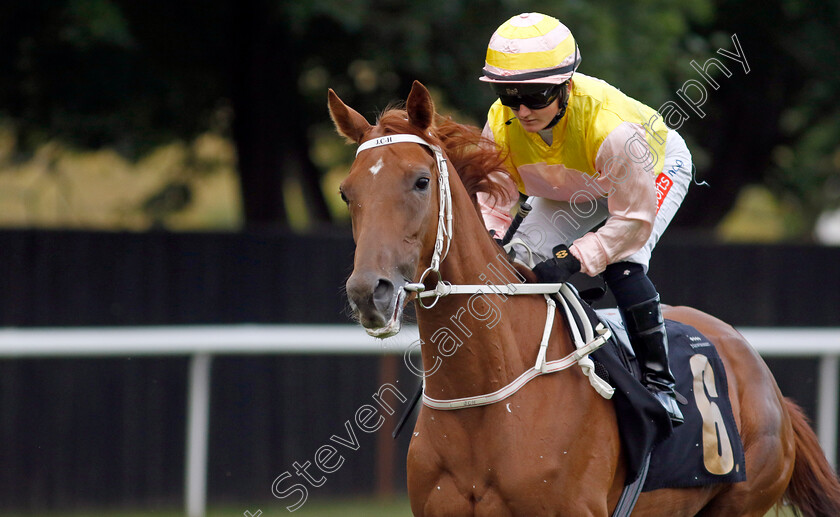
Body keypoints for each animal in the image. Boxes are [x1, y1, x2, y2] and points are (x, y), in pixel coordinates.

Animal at [326, 80, 840, 516]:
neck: (484, 405)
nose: (369, 292)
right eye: (347, 193)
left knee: (629, 263)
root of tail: (764, 378)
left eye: (421, 181)